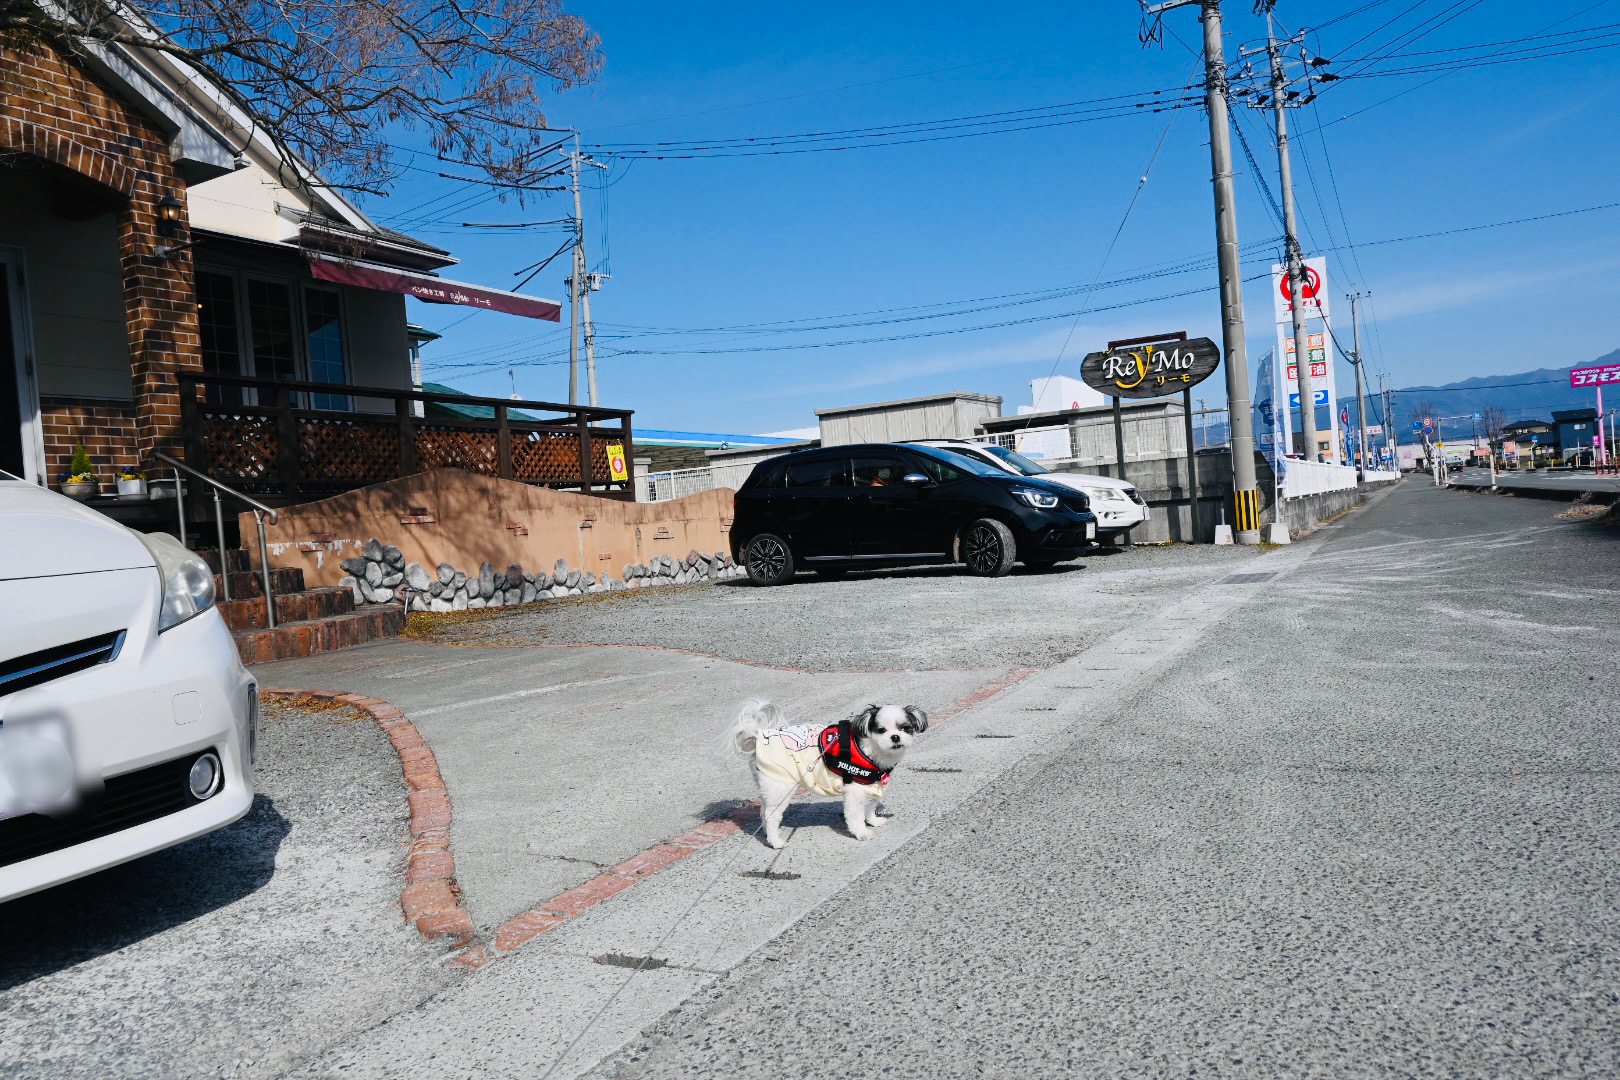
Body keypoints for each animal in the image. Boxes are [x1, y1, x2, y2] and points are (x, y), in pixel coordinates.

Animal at [729, 702, 933, 854]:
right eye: (881, 730)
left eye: (905, 728)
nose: (896, 737)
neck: (869, 750)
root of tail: (758, 739)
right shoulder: (855, 790)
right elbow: (855, 815)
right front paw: (862, 832)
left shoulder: (872, 785)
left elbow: (869, 807)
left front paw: (873, 821)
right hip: (782, 788)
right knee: (771, 816)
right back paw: (775, 842)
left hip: (771, 787)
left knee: (764, 811)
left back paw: (767, 834)